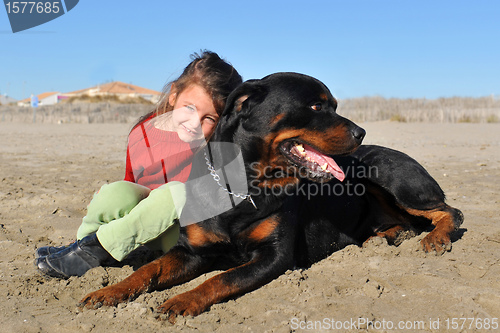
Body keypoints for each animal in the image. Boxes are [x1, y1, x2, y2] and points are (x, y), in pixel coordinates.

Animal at [79, 72, 464, 320]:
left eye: (333, 105)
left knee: (449, 212)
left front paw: (182, 300)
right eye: (316, 107)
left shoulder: (273, 257)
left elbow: (221, 278)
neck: (243, 185)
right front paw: (107, 292)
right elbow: (149, 269)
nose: (361, 132)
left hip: (390, 177)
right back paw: (387, 236)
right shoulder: (193, 252)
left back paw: (435, 238)